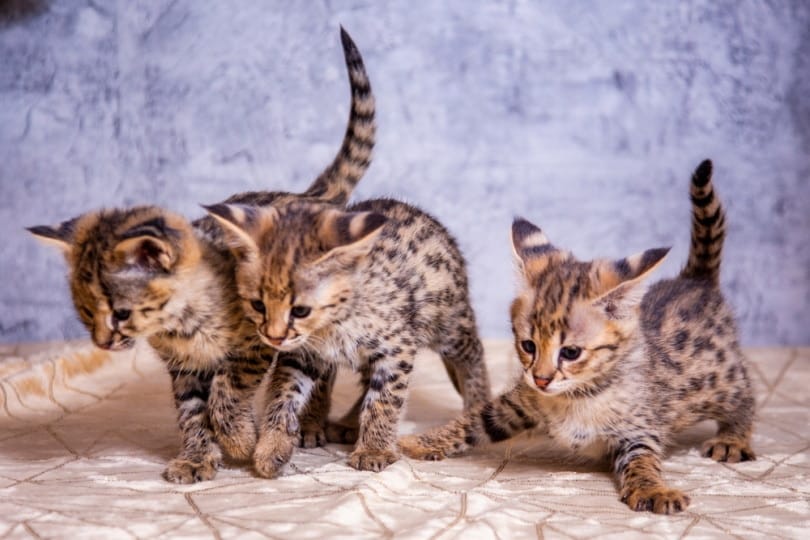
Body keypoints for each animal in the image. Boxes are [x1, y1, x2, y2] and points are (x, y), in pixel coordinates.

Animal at [27, 27, 376, 486]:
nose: (102, 343)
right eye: (87, 314)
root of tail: (304, 198)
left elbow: (226, 393)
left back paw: (311, 424)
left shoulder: (256, 343)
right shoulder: (184, 367)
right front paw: (197, 457)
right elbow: (192, 412)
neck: (181, 324)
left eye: (120, 313)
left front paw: (241, 439)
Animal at [205, 196, 490, 474]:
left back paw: (476, 407)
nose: (274, 338)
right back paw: (337, 423)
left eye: (300, 310)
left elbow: (384, 401)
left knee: (473, 351)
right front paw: (273, 445)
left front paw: (374, 450)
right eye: (258, 305)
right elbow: (283, 393)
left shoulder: (397, 349)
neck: (331, 325)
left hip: (448, 323)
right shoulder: (300, 355)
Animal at [396, 159, 752, 516]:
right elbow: (473, 420)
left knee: (745, 392)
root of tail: (695, 281)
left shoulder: (640, 427)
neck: (577, 395)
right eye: (528, 346)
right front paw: (419, 441)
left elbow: (642, 460)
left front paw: (655, 489)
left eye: (570, 353)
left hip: (719, 380)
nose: (541, 379)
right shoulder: (517, 402)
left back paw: (733, 438)